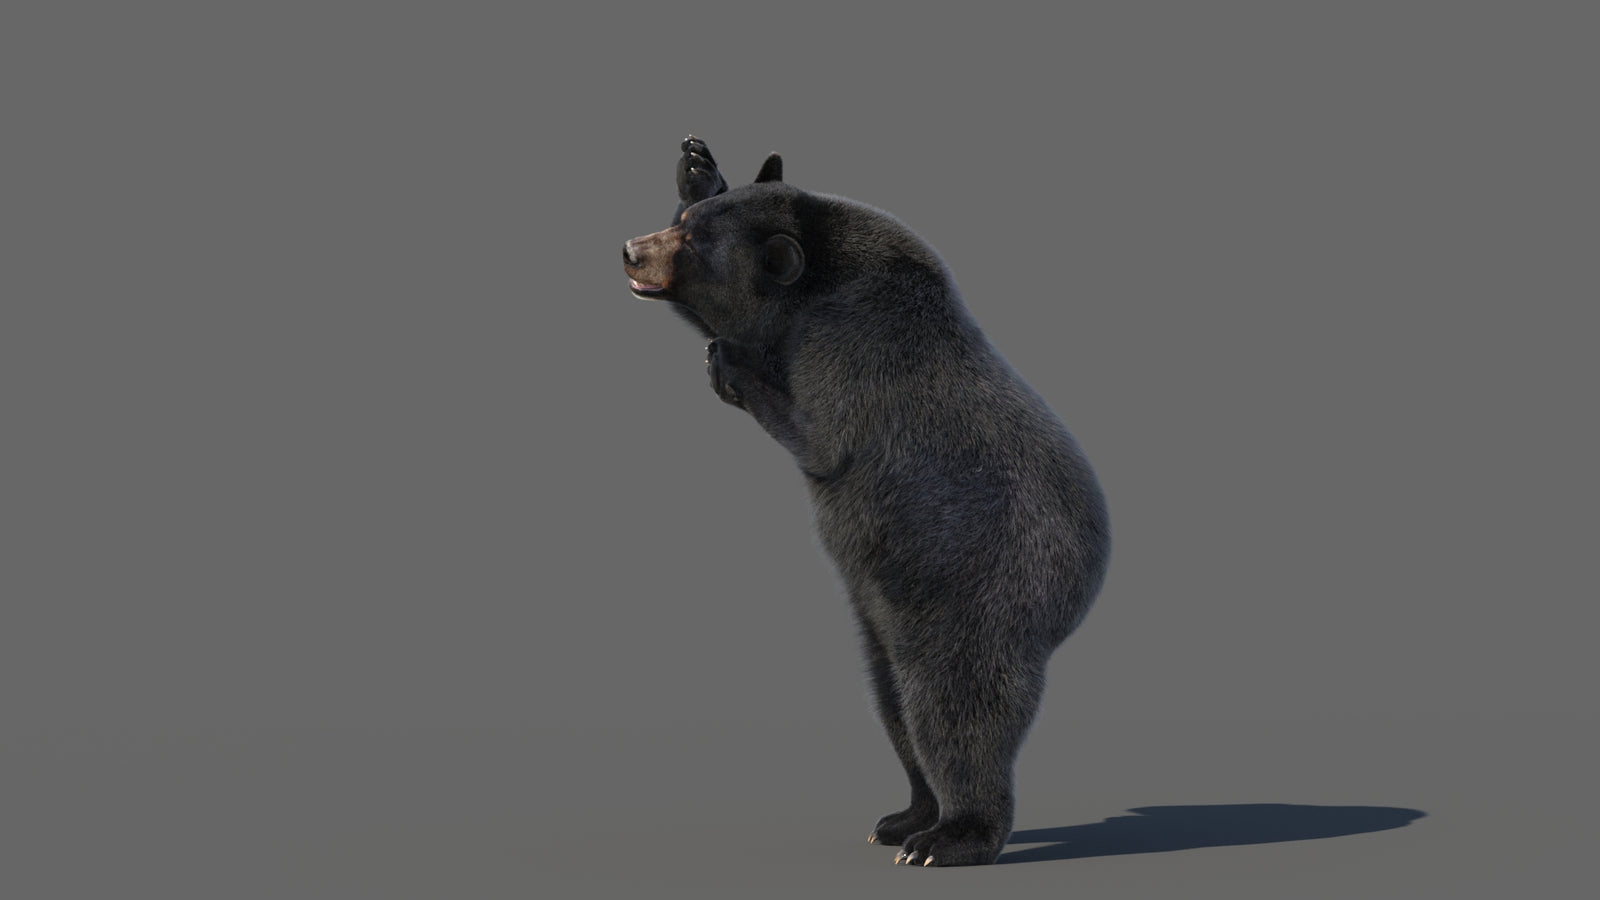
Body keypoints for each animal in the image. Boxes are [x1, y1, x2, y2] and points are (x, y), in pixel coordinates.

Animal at [621, 136, 1110, 867]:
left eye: (693, 246)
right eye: (684, 223)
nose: (631, 249)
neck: (824, 278)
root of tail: (1083, 590)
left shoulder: (853, 347)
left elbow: (819, 435)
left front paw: (729, 360)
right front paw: (699, 164)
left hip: (982, 597)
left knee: (953, 712)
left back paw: (952, 836)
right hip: (885, 617)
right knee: (892, 704)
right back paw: (905, 817)